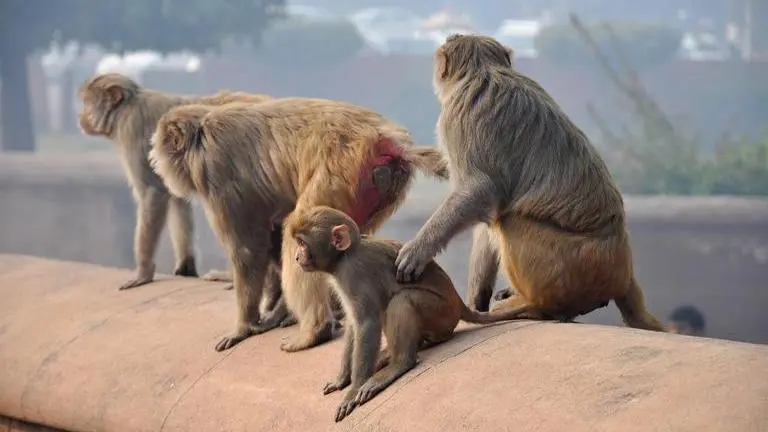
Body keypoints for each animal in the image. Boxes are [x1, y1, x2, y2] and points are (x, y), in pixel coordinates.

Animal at [77, 72, 273, 291]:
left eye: (87, 102)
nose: (81, 116)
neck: (126, 107)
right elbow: (177, 198)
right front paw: (186, 266)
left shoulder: (132, 130)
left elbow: (152, 193)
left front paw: (143, 273)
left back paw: (232, 276)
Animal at [148, 98, 449, 353]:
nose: (154, 159)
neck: (202, 133)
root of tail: (386, 138)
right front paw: (275, 312)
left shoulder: (216, 173)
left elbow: (248, 250)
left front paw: (243, 327)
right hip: (379, 188)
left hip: (341, 169)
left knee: (300, 227)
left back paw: (315, 331)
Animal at [289, 206, 529, 422]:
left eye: (302, 243)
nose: (297, 257)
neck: (344, 256)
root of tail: (458, 302)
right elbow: (353, 324)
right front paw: (342, 379)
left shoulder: (353, 273)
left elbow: (366, 323)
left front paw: (353, 389)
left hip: (441, 313)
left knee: (401, 300)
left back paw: (399, 363)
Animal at [394, 34, 665, 332]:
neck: (484, 69)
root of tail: (623, 273)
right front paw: (405, 150)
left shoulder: (457, 115)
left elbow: (478, 190)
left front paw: (418, 250)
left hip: (569, 269)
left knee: (509, 220)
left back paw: (536, 307)